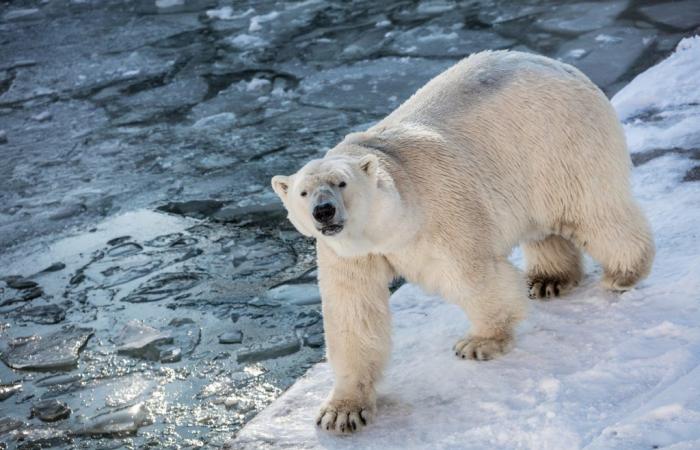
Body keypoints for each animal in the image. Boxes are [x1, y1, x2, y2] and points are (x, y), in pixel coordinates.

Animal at [270, 51, 652, 434]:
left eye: (341, 182)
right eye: (304, 192)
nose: (323, 211)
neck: (392, 222)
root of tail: (561, 66)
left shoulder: (441, 208)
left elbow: (472, 275)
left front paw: (479, 342)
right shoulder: (348, 253)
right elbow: (354, 312)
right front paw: (341, 412)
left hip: (561, 143)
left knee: (592, 210)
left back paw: (624, 272)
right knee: (545, 229)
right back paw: (548, 280)